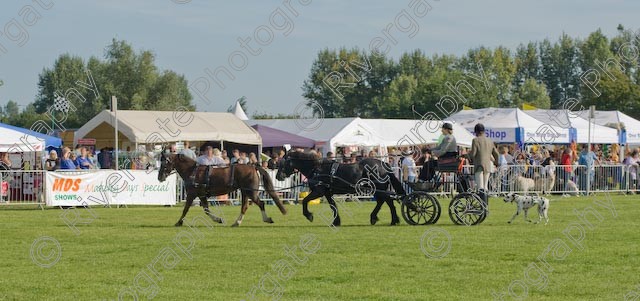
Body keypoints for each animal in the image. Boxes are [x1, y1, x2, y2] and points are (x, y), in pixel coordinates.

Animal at [276, 150, 404, 225]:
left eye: (283, 162)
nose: (278, 176)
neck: (317, 168)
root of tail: (384, 164)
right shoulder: (327, 193)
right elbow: (333, 206)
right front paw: (336, 221)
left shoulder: (319, 191)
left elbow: (305, 200)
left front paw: (309, 215)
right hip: (376, 190)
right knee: (383, 201)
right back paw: (378, 218)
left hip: (379, 189)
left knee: (388, 202)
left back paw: (393, 220)